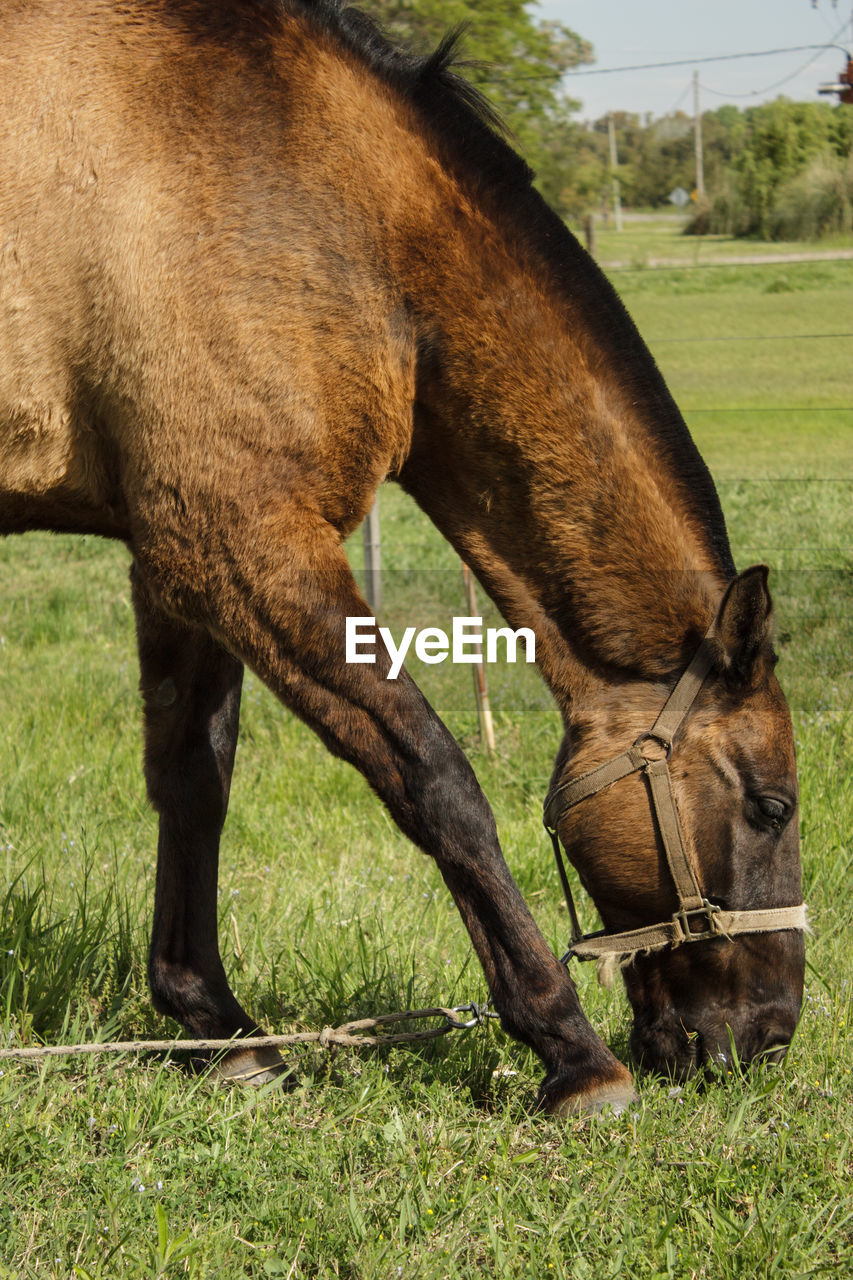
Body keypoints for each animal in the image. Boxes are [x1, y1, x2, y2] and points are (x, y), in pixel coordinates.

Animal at [1, 0, 804, 1116]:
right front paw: (568, 1049)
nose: (767, 1035)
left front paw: (222, 1027)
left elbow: (194, 780)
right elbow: (435, 778)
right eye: (770, 805)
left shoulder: (179, 563)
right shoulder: (243, 545)